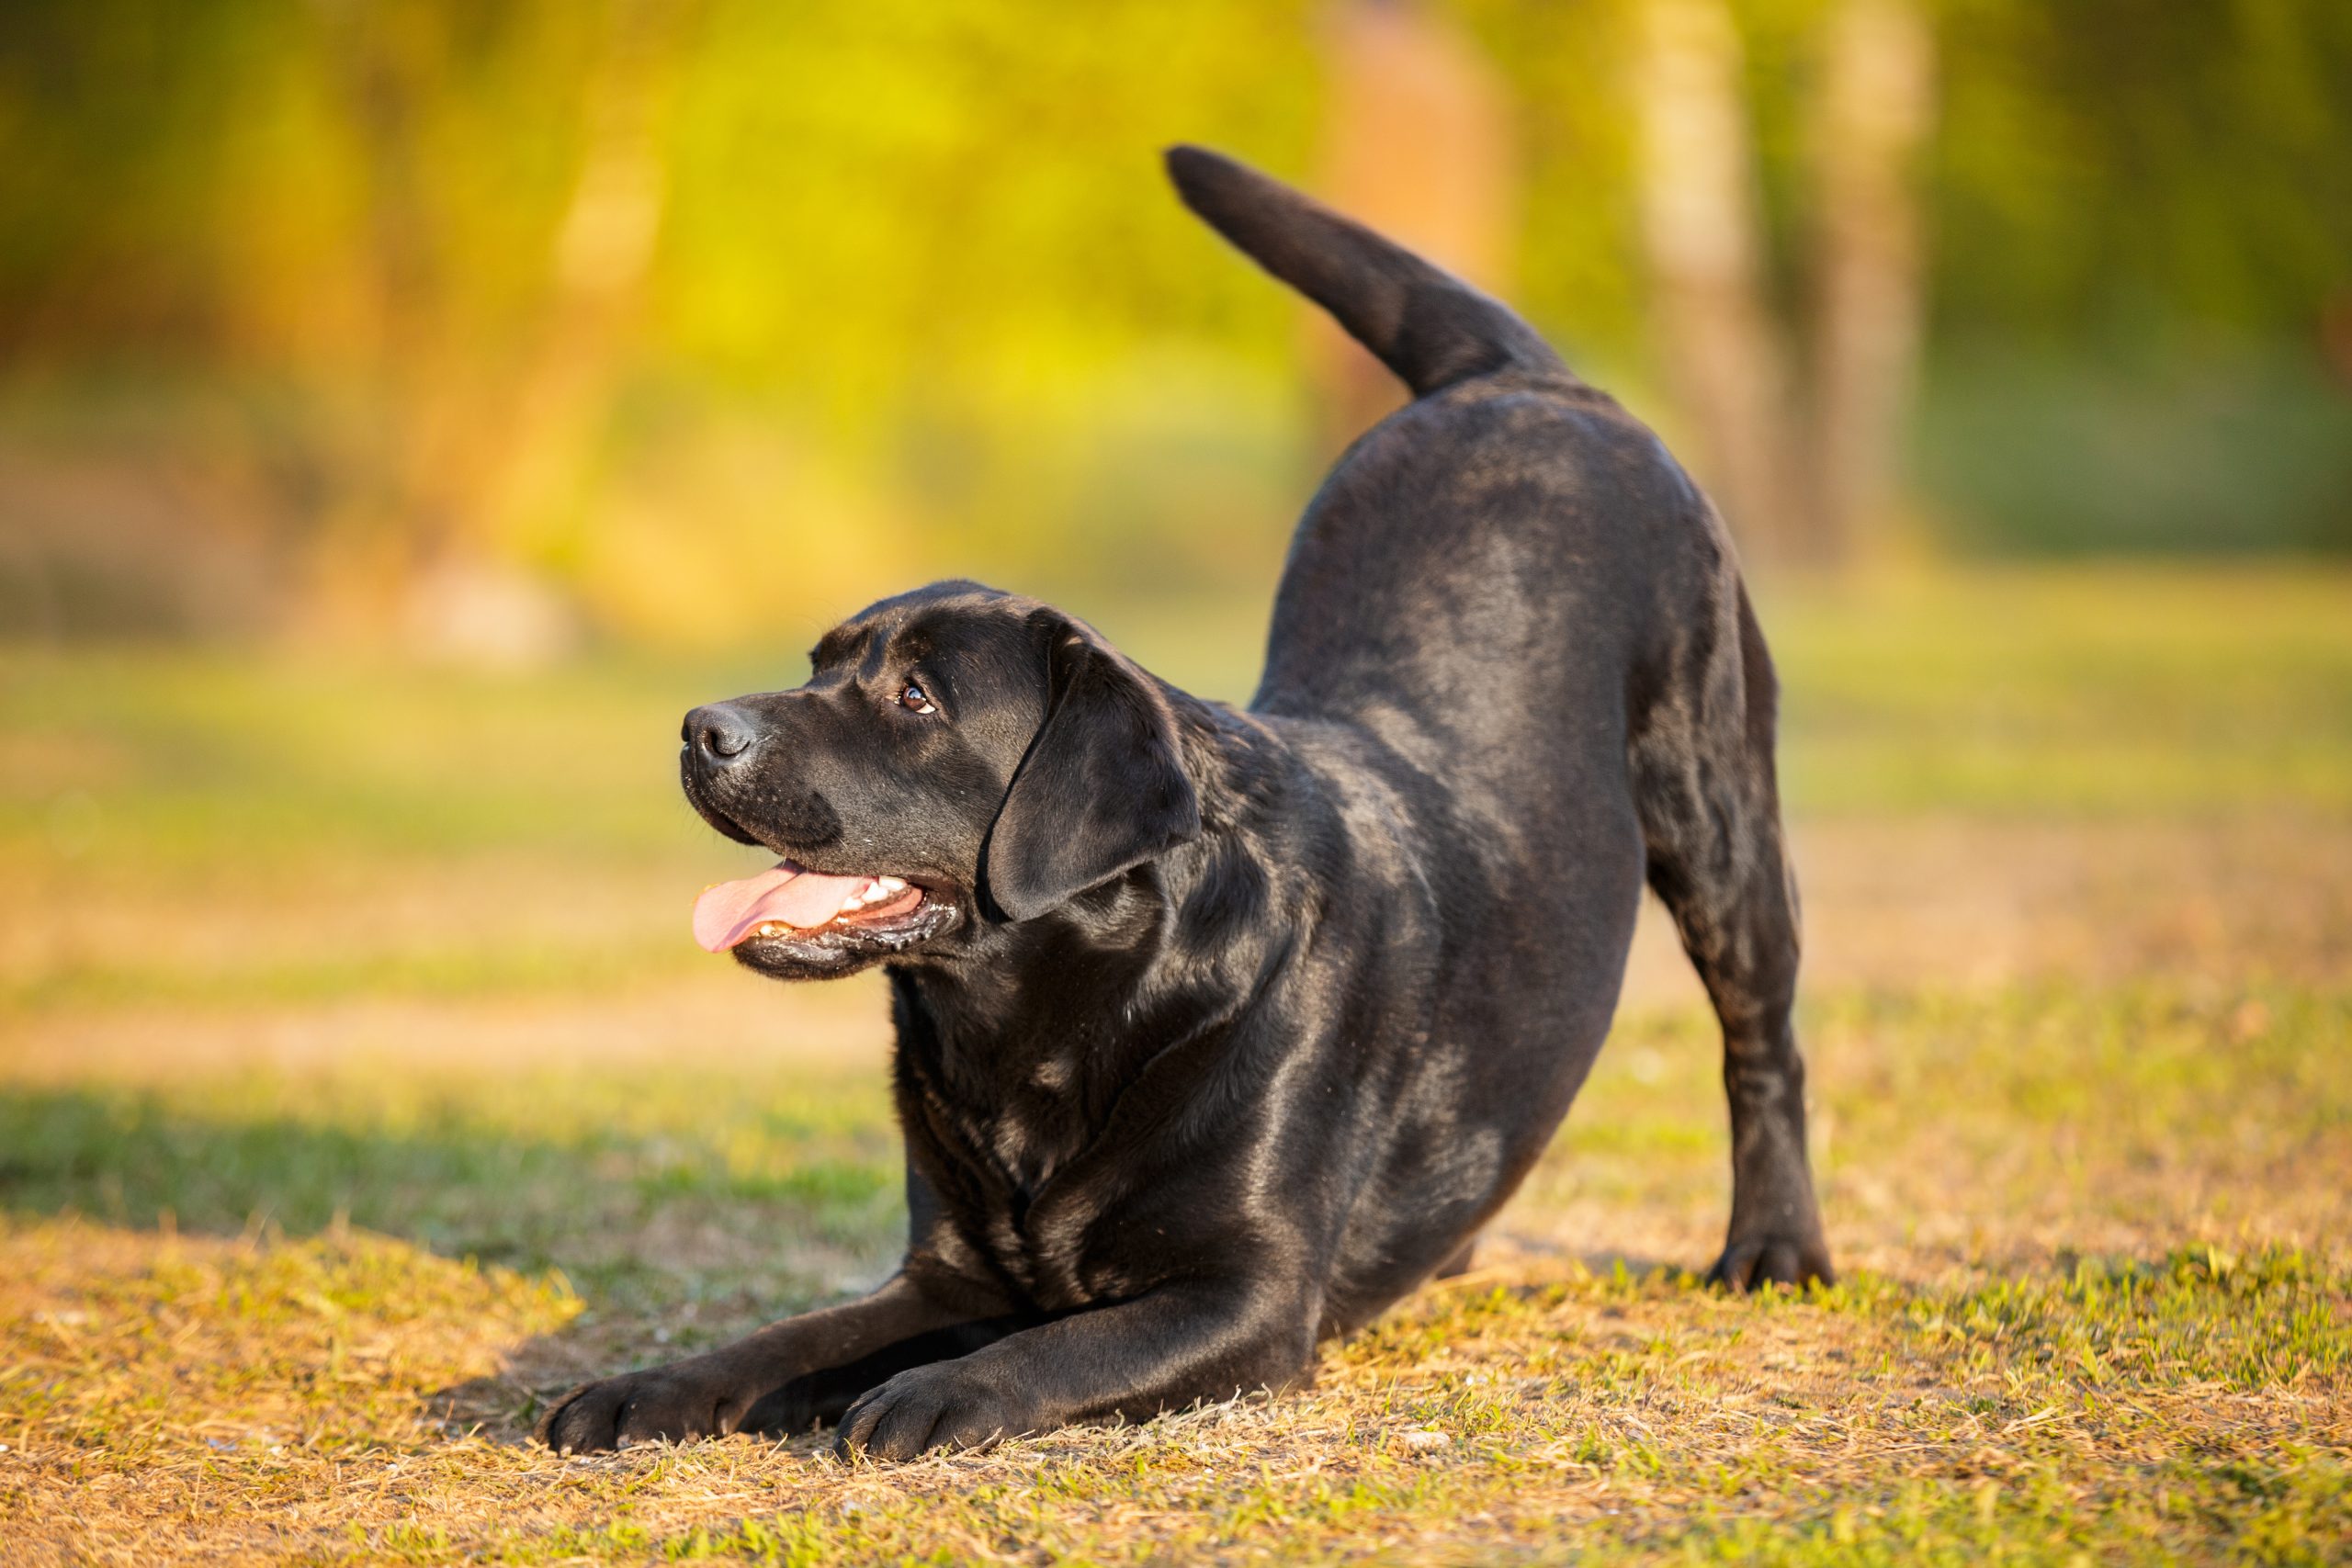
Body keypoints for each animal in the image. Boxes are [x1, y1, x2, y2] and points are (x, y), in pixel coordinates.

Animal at [538, 143, 1834, 1457]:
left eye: (915, 698)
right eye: (816, 666)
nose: (702, 729)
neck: (1048, 1027)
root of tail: (1522, 378)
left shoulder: (1245, 1295)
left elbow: (1051, 1347)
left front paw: (928, 1393)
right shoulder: (943, 1275)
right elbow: (786, 1339)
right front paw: (647, 1384)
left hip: (1717, 815)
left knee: (1762, 1043)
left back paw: (1774, 1252)